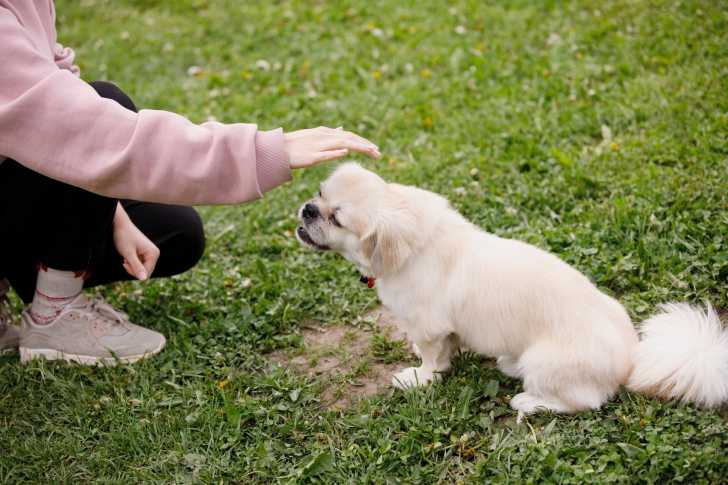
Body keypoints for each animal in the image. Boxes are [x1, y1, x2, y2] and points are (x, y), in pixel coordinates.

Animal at [296, 163, 728, 414]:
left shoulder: (428, 328)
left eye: (336, 219)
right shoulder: (445, 329)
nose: (308, 210)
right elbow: (450, 348)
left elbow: (434, 360)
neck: (412, 247)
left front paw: (419, 378)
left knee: (581, 402)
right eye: (319, 193)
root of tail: (632, 359)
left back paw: (529, 400)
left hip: (544, 362)